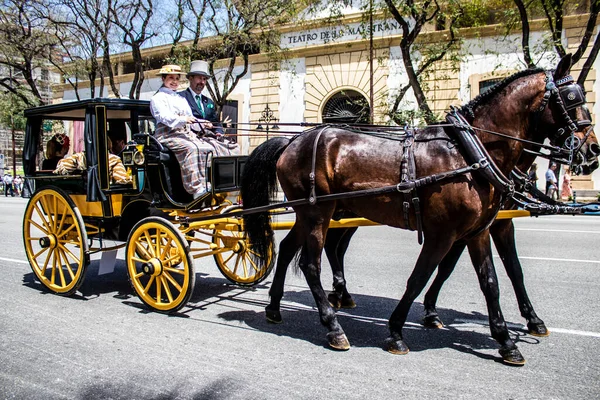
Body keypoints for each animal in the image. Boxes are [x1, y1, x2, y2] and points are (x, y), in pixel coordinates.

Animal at [241, 56, 592, 366]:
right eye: (571, 98)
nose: (591, 150)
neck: (470, 153)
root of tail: (291, 141)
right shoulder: (444, 234)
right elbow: (420, 277)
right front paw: (397, 330)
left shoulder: (478, 231)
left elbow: (491, 282)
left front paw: (506, 341)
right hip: (318, 213)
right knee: (311, 264)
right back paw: (333, 325)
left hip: (313, 213)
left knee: (290, 249)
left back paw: (276, 307)